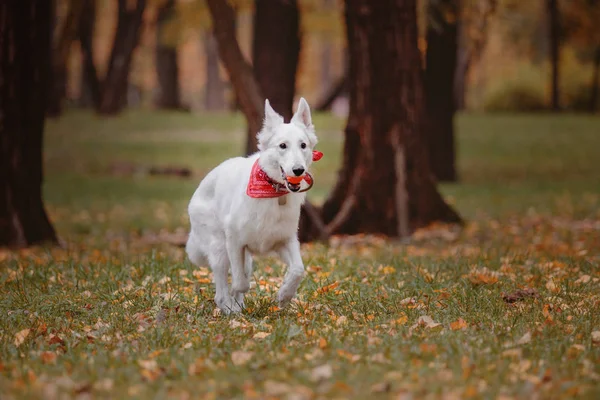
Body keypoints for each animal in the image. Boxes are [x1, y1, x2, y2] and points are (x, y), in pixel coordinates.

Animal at [185, 97, 322, 312]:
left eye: (303, 145)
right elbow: (240, 283)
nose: (298, 170)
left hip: (246, 258)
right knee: (220, 291)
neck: (273, 191)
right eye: (282, 145)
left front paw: (285, 295)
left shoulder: (285, 240)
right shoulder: (234, 242)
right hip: (220, 249)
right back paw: (230, 309)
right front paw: (235, 297)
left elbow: (298, 270)